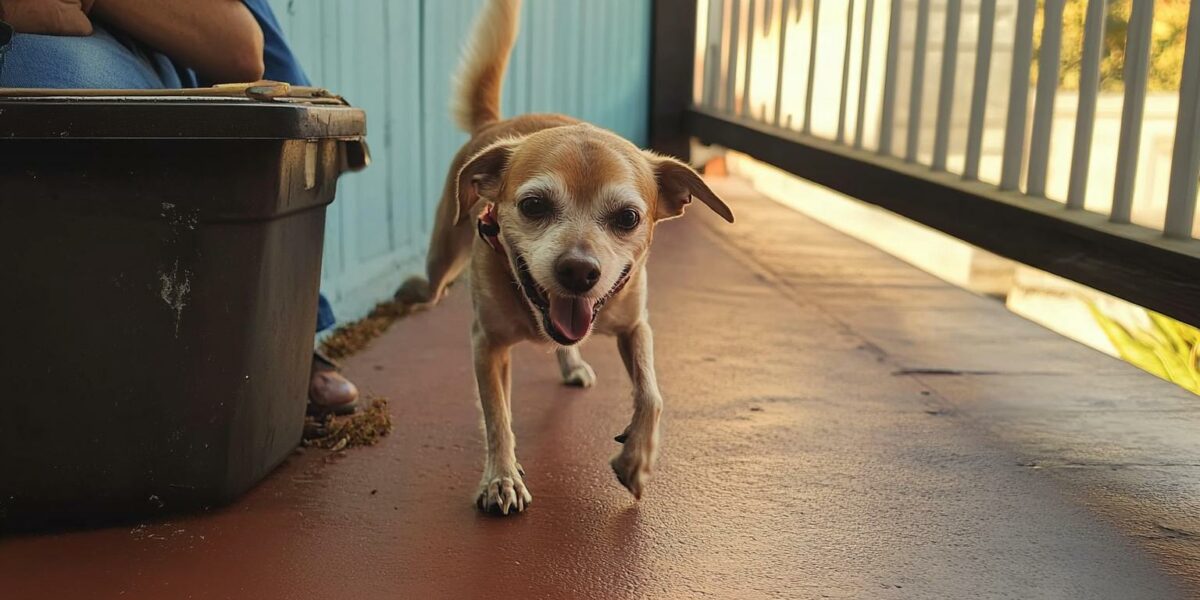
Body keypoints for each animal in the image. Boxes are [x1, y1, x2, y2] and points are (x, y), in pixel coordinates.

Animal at [396, 0, 729, 516]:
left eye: (629, 217)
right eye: (534, 206)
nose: (578, 270)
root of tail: (494, 127)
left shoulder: (635, 327)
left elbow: (651, 395)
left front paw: (637, 458)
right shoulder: (486, 345)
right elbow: (497, 416)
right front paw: (501, 477)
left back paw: (570, 363)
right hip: (442, 260)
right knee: (432, 287)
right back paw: (411, 293)